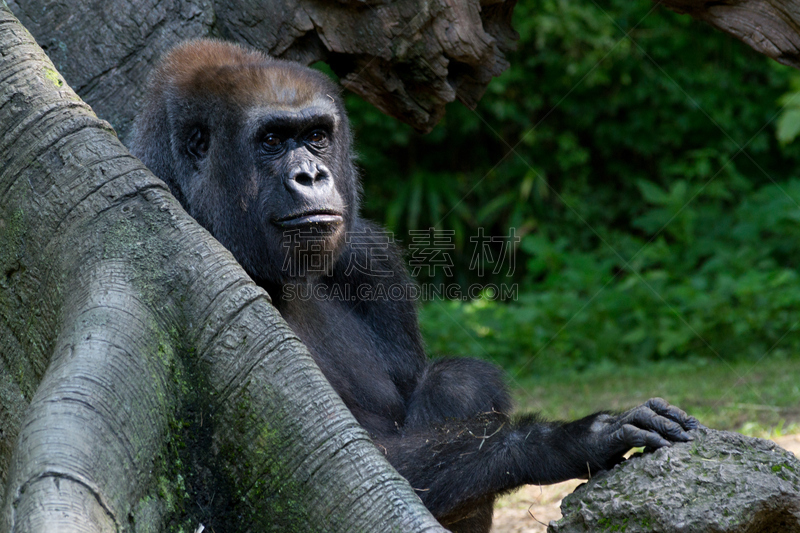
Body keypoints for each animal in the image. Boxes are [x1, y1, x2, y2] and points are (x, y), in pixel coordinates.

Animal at [128, 40, 696, 532]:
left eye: (316, 136)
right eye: (271, 140)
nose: (311, 176)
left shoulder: (367, 253)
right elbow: (342, 466)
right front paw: (567, 440)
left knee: (457, 381)